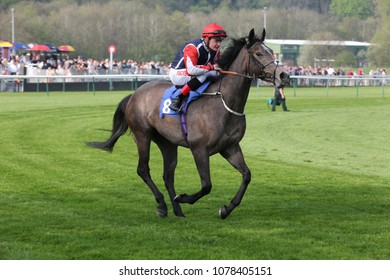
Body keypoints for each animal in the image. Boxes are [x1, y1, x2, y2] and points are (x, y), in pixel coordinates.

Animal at [87, 29, 290, 221]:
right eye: (258, 53)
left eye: (271, 51)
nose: (284, 74)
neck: (223, 102)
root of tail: (134, 94)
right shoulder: (198, 148)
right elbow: (207, 185)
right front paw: (185, 198)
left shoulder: (230, 147)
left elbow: (247, 175)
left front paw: (226, 209)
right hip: (142, 135)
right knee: (143, 169)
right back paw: (162, 205)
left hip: (167, 143)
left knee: (168, 176)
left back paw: (177, 210)